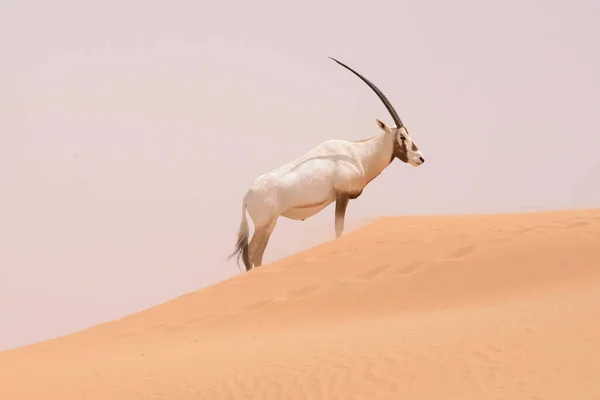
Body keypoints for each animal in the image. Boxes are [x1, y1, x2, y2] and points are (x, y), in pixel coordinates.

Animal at [226, 57, 426, 272]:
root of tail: (247, 195)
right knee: (252, 254)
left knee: (256, 255)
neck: (357, 153)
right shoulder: (342, 195)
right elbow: (339, 229)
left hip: (269, 225)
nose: (420, 158)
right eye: (402, 136)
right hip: (265, 224)